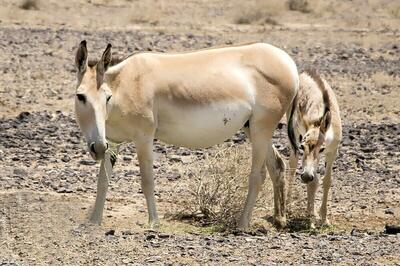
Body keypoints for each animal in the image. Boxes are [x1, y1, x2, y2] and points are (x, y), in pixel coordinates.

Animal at [73, 40, 298, 230]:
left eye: (107, 97)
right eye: (80, 96)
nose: (97, 148)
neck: (125, 85)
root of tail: (288, 62)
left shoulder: (144, 137)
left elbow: (147, 180)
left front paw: (153, 223)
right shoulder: (112, 141)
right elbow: (103, 181)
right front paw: (94, 221)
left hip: (261, 128)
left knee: (257, 175)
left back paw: (242, 224)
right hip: (252, 128)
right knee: (277, 166)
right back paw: (279, 220)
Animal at [288, 69, 340, 228]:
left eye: (322, 149)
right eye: (302, 146)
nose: (305, 176)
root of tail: (306, 72)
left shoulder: (332, 152)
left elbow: (327, 181)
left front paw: (323, 218)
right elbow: (313, 182)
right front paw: (310, 220)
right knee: (292, 167)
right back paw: (288, 206)